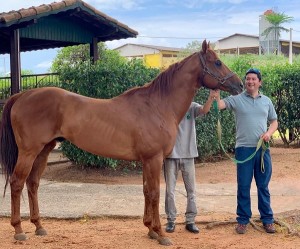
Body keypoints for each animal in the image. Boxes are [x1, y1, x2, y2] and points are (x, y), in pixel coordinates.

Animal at [0, 40, 243, 245]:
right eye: (217, 62)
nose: (239, 84)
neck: (158, 105)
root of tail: (22, 96)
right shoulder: (154, 159)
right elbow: (155, 193)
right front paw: (161, 234)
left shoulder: (147, 160)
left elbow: (146, 191)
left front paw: (150, 229)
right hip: (29, 151)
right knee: (17, 182)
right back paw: (19, 230)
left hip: (44, 150)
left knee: (32, 183)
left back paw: (39, 226)